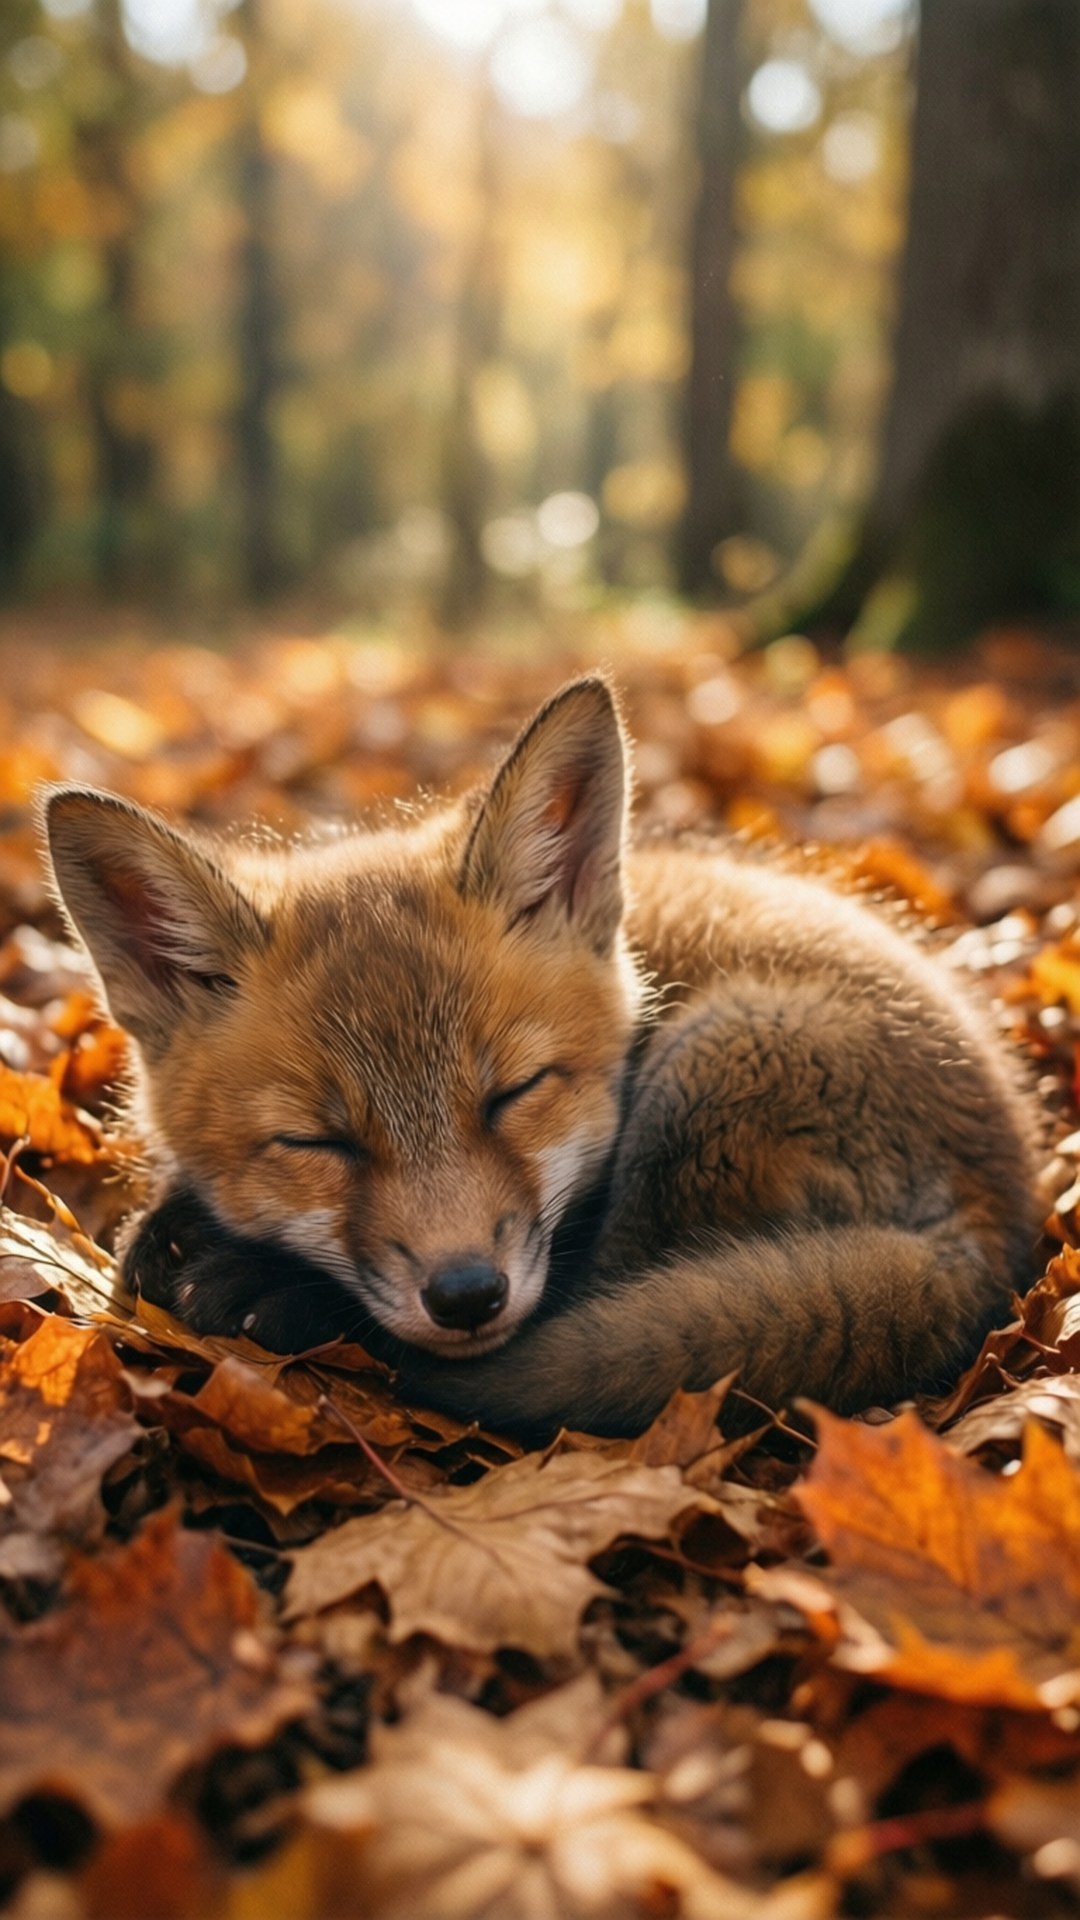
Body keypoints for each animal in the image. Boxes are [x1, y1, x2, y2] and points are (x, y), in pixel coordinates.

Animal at [41, 675, 1041, 1438]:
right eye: (319, 1143)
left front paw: (249, 1278)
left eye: (513, 1094)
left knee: (595, 1300)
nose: (466, 1295)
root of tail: (1005, 1223)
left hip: (710, 1067)